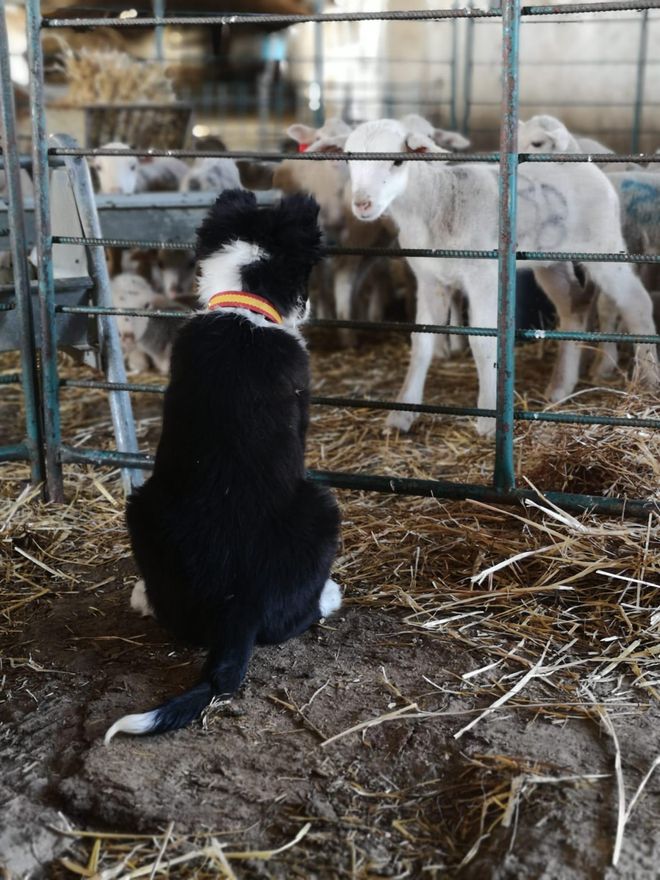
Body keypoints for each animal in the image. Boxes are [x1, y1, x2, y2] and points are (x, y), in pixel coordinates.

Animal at [105, 191, 342, 744]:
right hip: (322, 507)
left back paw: (144, 596)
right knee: (295, 616)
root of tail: (239, 603)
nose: (309, 309)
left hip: (142, 508)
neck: (242, 307)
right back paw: (329, 597)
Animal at [318, 118, 656, 434]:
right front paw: (402, 413)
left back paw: (648, 379)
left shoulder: (482, 276)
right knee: (573, 307)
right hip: (551, 263)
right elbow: (421, 341)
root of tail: (587, 167)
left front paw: (488, 418)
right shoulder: (430, 280)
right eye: (349, 159)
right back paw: (560, 386)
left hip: (605, 247)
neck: (439, 202)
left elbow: (482, 342)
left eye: (398, 161)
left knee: (636, 302)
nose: (362, 204)